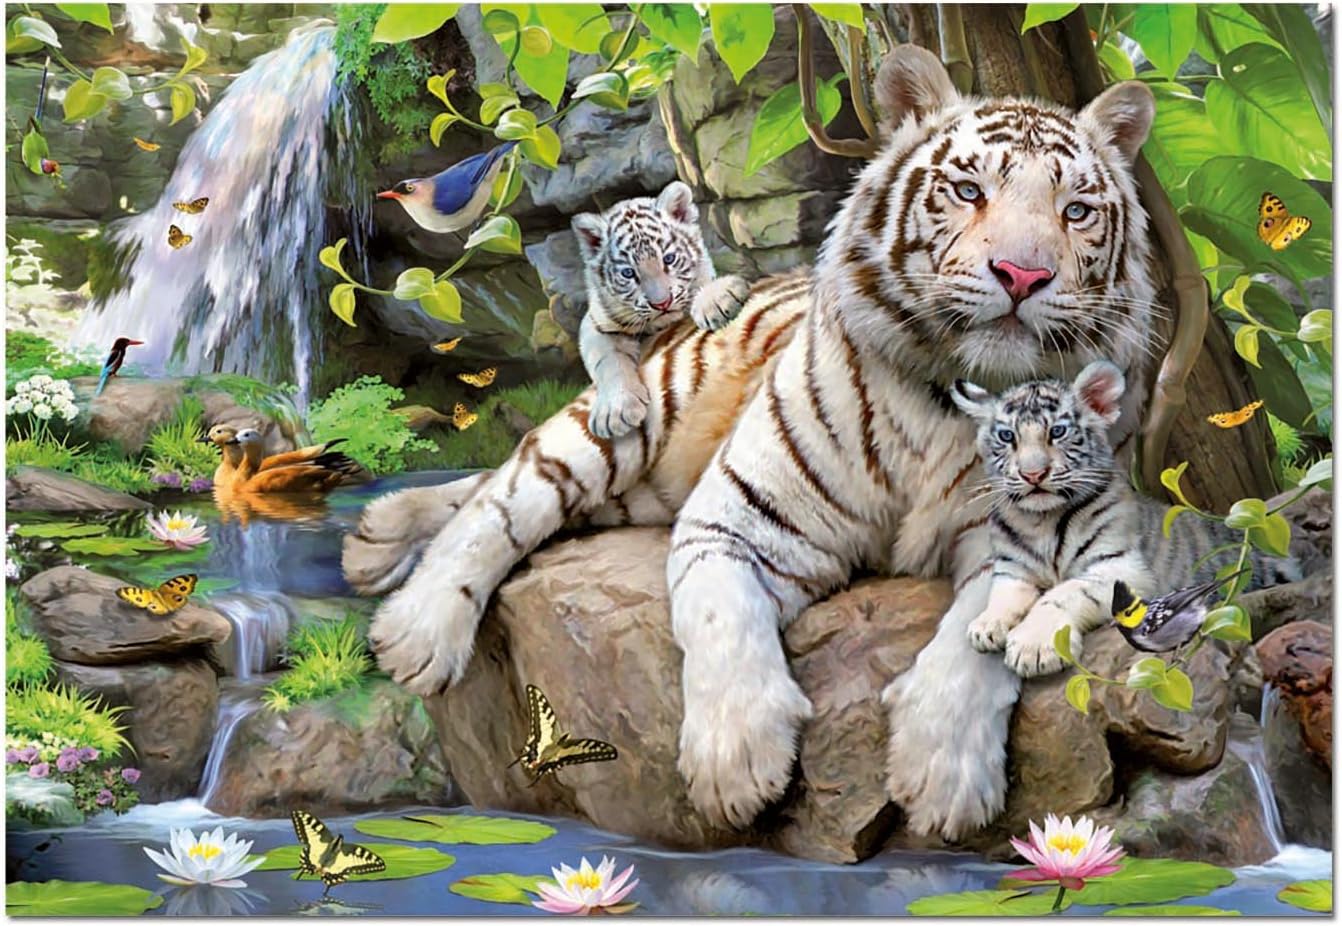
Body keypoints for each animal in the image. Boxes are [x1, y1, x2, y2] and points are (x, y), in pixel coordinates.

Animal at [573, 181, 751, 438]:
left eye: (669, 259)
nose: (662, 303)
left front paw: (717, 301)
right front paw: (615, 411)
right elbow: (607, 361)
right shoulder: (596, 324)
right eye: (628, 273)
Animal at [954, 360, 1299, 675]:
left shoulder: (1121, 567)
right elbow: (1004, 592)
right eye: (1007, 436)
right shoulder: (1013, 568)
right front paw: (986, 625)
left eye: (1057, 431)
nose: (1033, 474)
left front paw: (1033, 647)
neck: (1042, 521)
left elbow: (1062, 594)